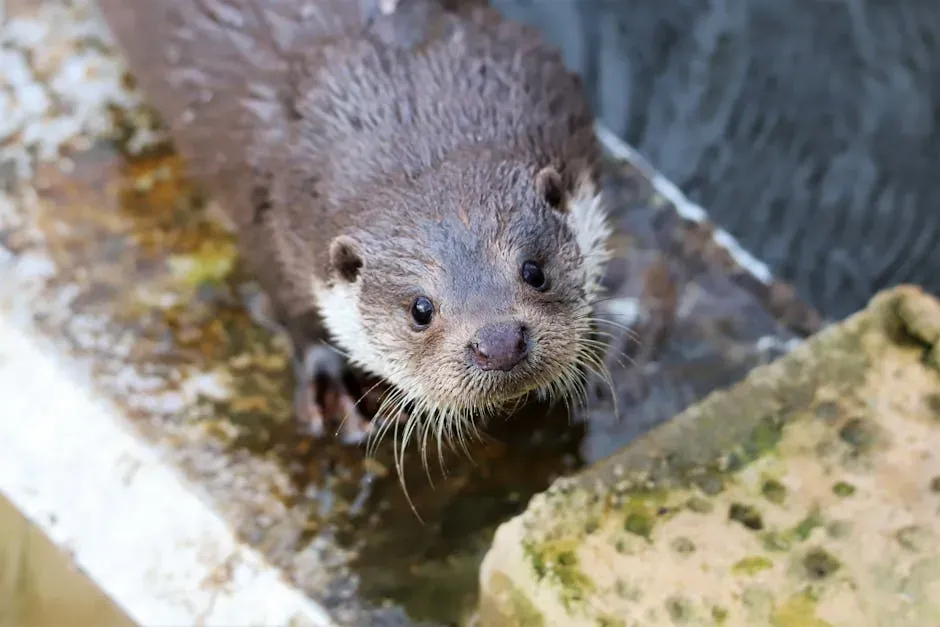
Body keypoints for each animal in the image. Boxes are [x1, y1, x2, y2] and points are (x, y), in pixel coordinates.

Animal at [97, 0, 610, 445]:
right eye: (420, 310)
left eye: (534, 272)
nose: (499, 342)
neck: (408, 121)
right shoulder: (265, 210)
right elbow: (289, 299)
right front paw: (331, 380)